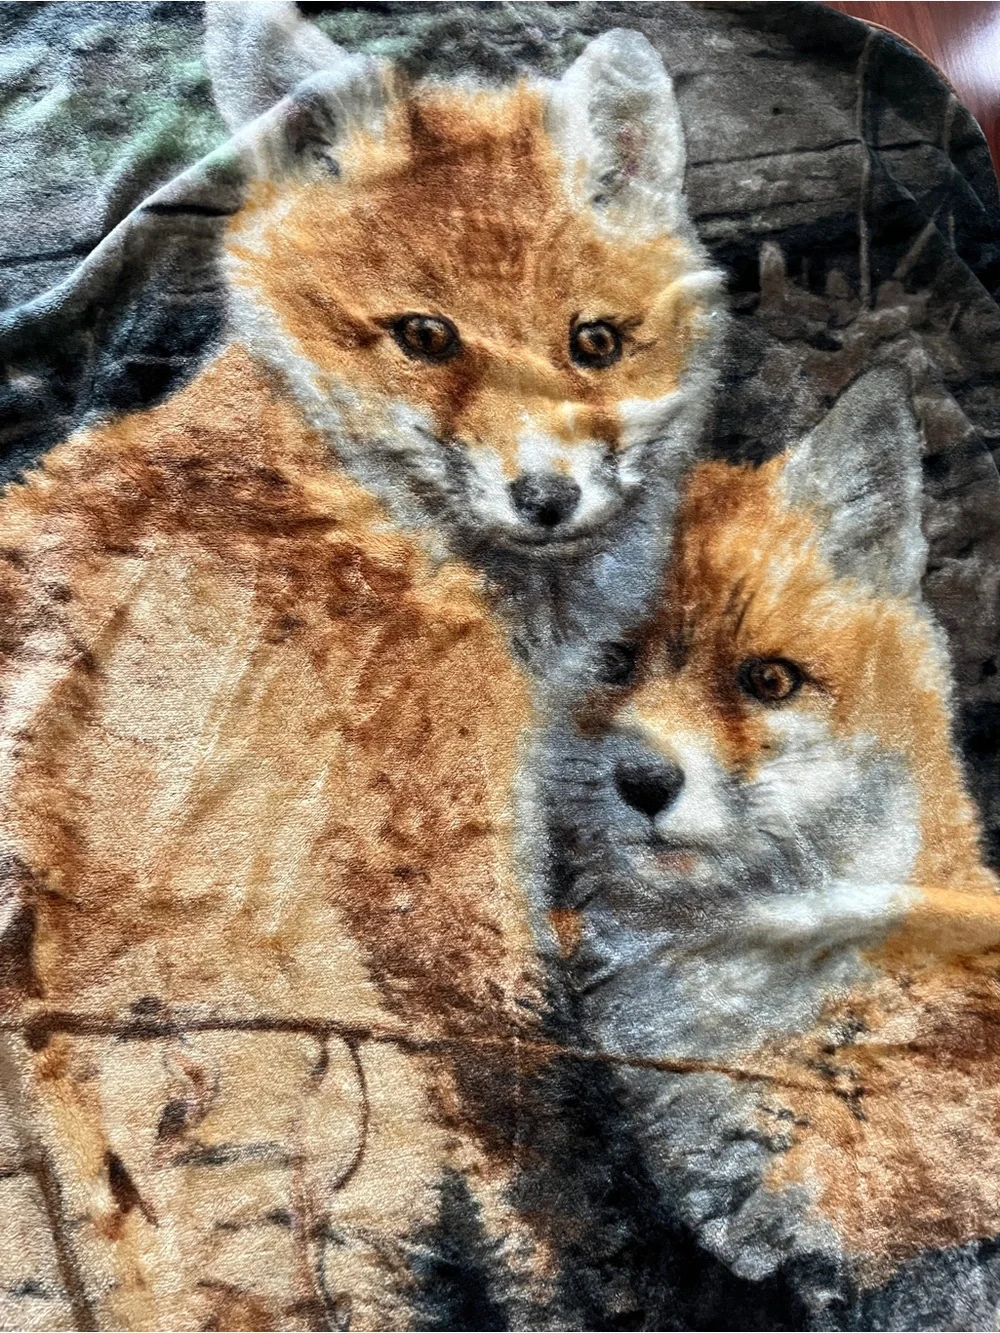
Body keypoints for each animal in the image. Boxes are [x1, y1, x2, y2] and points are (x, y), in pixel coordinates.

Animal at [0, 5, 718, 1329]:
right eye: (423, 336)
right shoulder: (435, 876)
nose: (547, 498)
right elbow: (550, 1137)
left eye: (593, 342)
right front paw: (630, 1279)